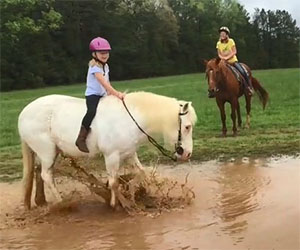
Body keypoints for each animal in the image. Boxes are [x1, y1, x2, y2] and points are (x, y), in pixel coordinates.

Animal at [18, 92, 197, 209]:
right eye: (187, 127)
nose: (187, 153)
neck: (130, 119)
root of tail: (23, 114)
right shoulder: (111, 156)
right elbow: (114, 182)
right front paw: (120, 204)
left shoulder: (129, 153)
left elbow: (141, 173)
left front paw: (132, 192)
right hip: (47, 151)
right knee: (46, 175)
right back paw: (62, 202)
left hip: (48, 152)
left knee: (38, 172)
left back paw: (41, 201)